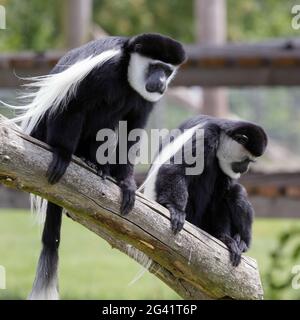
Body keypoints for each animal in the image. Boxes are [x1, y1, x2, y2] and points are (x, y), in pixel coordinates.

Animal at [5, 33, 185, 298]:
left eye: (167, 70)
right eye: (155, 67)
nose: (161, 82)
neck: (126, 74)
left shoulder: (143, 100)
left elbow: (132, 129)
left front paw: (126, 182)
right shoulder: (103, 70)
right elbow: (74, 104)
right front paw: (62, 154)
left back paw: (99, 166)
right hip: (48, 129)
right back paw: (71, 156)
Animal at [142, 115, 268, 268]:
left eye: (250, 161)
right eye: (246, 160)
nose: (245, 169)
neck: (222, 133)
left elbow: (221, 195)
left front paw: (224, 238)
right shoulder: (207, 136)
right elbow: (175, 168)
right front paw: (175, 209)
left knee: (236, 192)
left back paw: (240, 241)